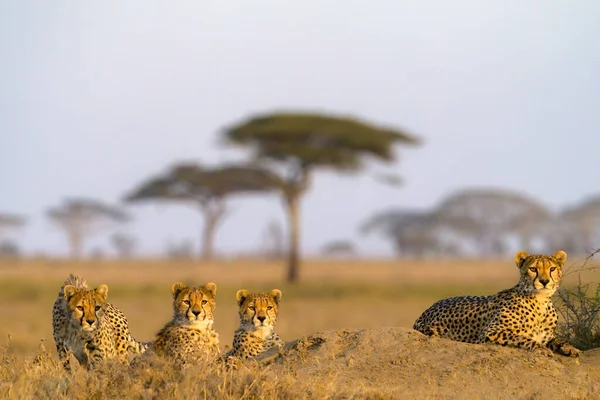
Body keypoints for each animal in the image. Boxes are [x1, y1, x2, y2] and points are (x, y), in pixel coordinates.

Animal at [414, 250, 580, 356]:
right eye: (533, 269)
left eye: (552, 268)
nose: (544, 281)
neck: (540, 302)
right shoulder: (491, 332)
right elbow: (522, 337)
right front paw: (541, 348)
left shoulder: (547, 336)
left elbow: (559, 339)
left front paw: (570, 348)